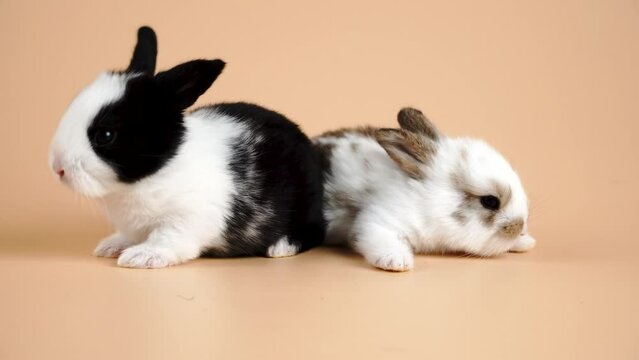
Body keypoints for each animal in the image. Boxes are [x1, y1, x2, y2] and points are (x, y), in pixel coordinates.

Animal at [48, 27, 324, 268]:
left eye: (105, 135)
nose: (57, 168)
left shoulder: (187, 219)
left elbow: (167, 237)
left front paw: (141, 257)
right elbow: (129, 235)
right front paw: (112, 246)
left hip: (306, 206)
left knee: (314, 232)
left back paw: (280, 247)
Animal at [316, 108, 536, 272]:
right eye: (490, 201)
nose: (520, 227)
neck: (430, 201)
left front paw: (527, 243)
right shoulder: (378, 221)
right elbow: (382, 238)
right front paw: (397, 262)